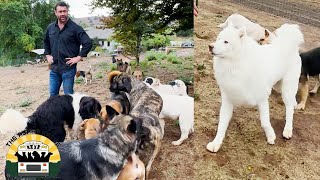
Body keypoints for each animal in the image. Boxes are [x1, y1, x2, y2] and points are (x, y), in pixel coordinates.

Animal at [206, 21, 304, 153]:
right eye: (218, 39)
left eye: (226, 42)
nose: (210, 46)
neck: (235, 65)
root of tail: (289, 44)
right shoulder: (228, 100)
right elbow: (221, 124)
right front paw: (216, 143)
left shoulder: (262, 99)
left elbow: (265, 122)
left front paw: (271, 136)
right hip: (279, 86)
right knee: (292, 102)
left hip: (286, 89)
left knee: (289, 109)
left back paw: (287, 130)